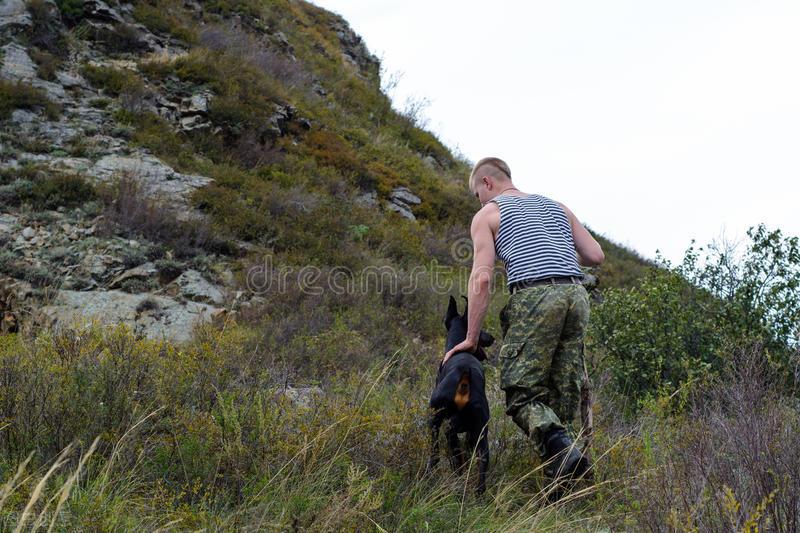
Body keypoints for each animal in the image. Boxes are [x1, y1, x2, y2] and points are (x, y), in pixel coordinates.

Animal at [424, 294, 494, 492]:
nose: (492, 337)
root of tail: (464, 373)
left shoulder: (435, 419)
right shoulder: (472, 433)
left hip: (445, 424)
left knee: (450, 456)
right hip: (481, 431)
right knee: (482, 461)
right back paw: (478, 492)